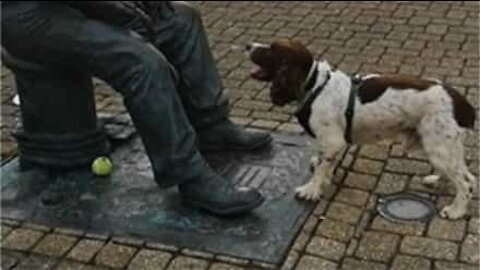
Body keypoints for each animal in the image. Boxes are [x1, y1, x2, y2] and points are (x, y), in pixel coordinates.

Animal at [248, 39, 476, 219]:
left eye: (272, 49)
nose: (248, 45)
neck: (315, 85)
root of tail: (463, 103)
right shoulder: (334, 143)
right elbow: (325, 164)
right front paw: (324, 179)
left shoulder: (332, 141)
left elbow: (321, 167)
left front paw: (311, 190)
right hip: (443, 147)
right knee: (465, 175)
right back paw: (437, 181)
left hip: (439, 146)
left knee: (465, 183)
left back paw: (456, 211)